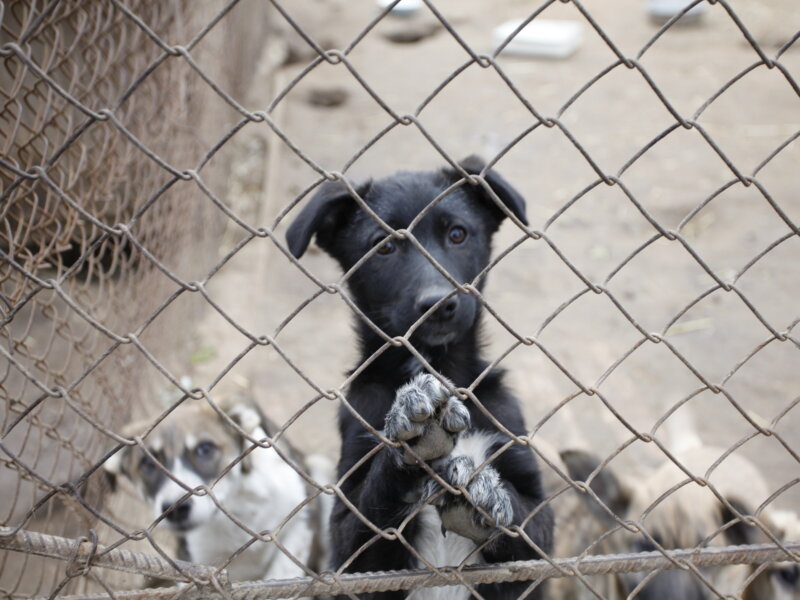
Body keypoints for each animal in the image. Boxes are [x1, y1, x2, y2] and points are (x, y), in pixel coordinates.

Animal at [104, 396, 332, 584]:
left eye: (205, 448)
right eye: (148, 463)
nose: (176, 510)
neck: (236, 506)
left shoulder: (302, 520)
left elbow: (285, 570)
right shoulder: (193, 561)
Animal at [288, 157, 556, 596]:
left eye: (457, 233)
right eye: (385, 246)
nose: (438, 303)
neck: (433, 366)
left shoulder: (532, 511)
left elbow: (527, 520)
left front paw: (484, 496)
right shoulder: (348, 546)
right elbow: (367, 518)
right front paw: (413, 431)